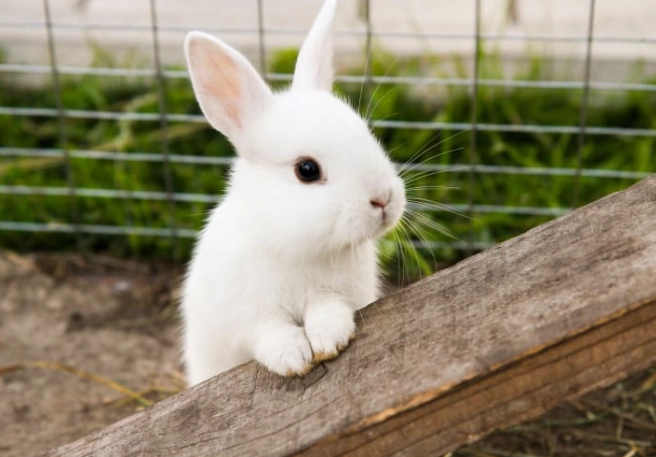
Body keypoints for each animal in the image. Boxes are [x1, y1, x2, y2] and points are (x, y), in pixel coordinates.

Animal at [181, 0, 406, 386]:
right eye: (307, 169)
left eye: (366, 132)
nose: (383, 200)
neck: (297, 247)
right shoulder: (248, 317)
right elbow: (269, 333)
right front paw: (293, 357)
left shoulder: (339, 294)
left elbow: (327, 309)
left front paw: (330, 338)